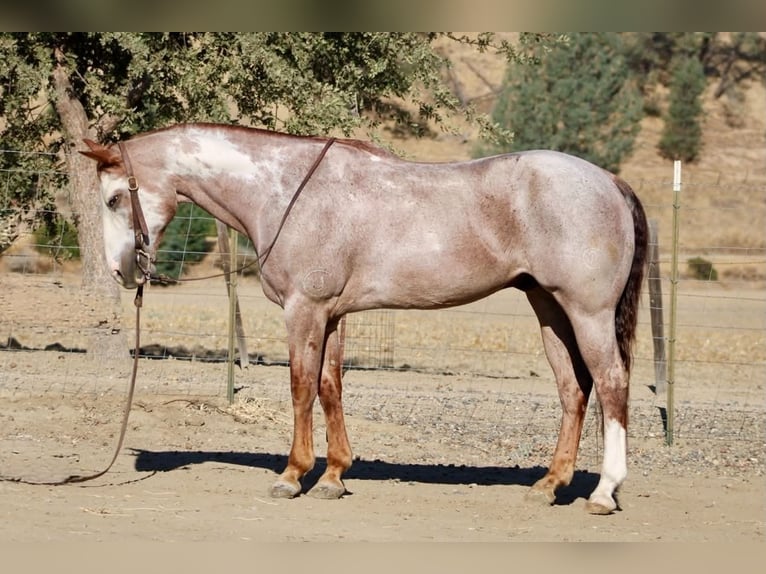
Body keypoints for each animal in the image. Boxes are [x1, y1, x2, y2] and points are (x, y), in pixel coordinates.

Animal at [81, 122, 647, 515]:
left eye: (114, 198)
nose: (120, 270)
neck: (287, 191)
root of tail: (609, 181)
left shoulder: (304, 310)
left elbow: (301, 387)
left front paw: (292, 475)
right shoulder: (332, 315)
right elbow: (330, 386)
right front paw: (334, 477)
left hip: (588, 312)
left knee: (611, 383)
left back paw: (604, 492)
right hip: (549, 308)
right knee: (574, 390)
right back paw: (550, 485)